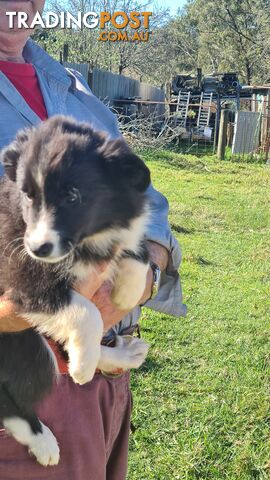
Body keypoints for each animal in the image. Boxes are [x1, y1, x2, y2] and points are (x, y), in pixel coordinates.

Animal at [0, 116, 150, 464]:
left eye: (72, 196)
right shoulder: (22, 275)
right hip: (21, 343)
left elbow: (137, 247)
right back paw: (43, 440)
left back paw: (119, 354)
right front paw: (83, 367)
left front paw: (126, 291)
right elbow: (88, 311)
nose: (38, 248)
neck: (87, 241)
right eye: (27, 196)